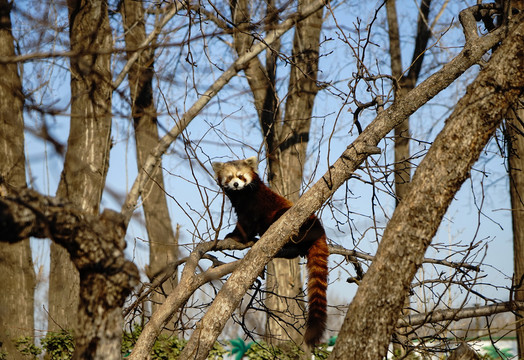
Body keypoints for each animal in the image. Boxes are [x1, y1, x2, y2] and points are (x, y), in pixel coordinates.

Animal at [212, 155, 328, 346]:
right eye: (229, 177)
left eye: (241, 176)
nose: (236, 184)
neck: (242, 195)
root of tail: (320, 228)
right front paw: (245, 238)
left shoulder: (253, 206)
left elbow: (246, 224)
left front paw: (235, 236)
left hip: (293, 219)